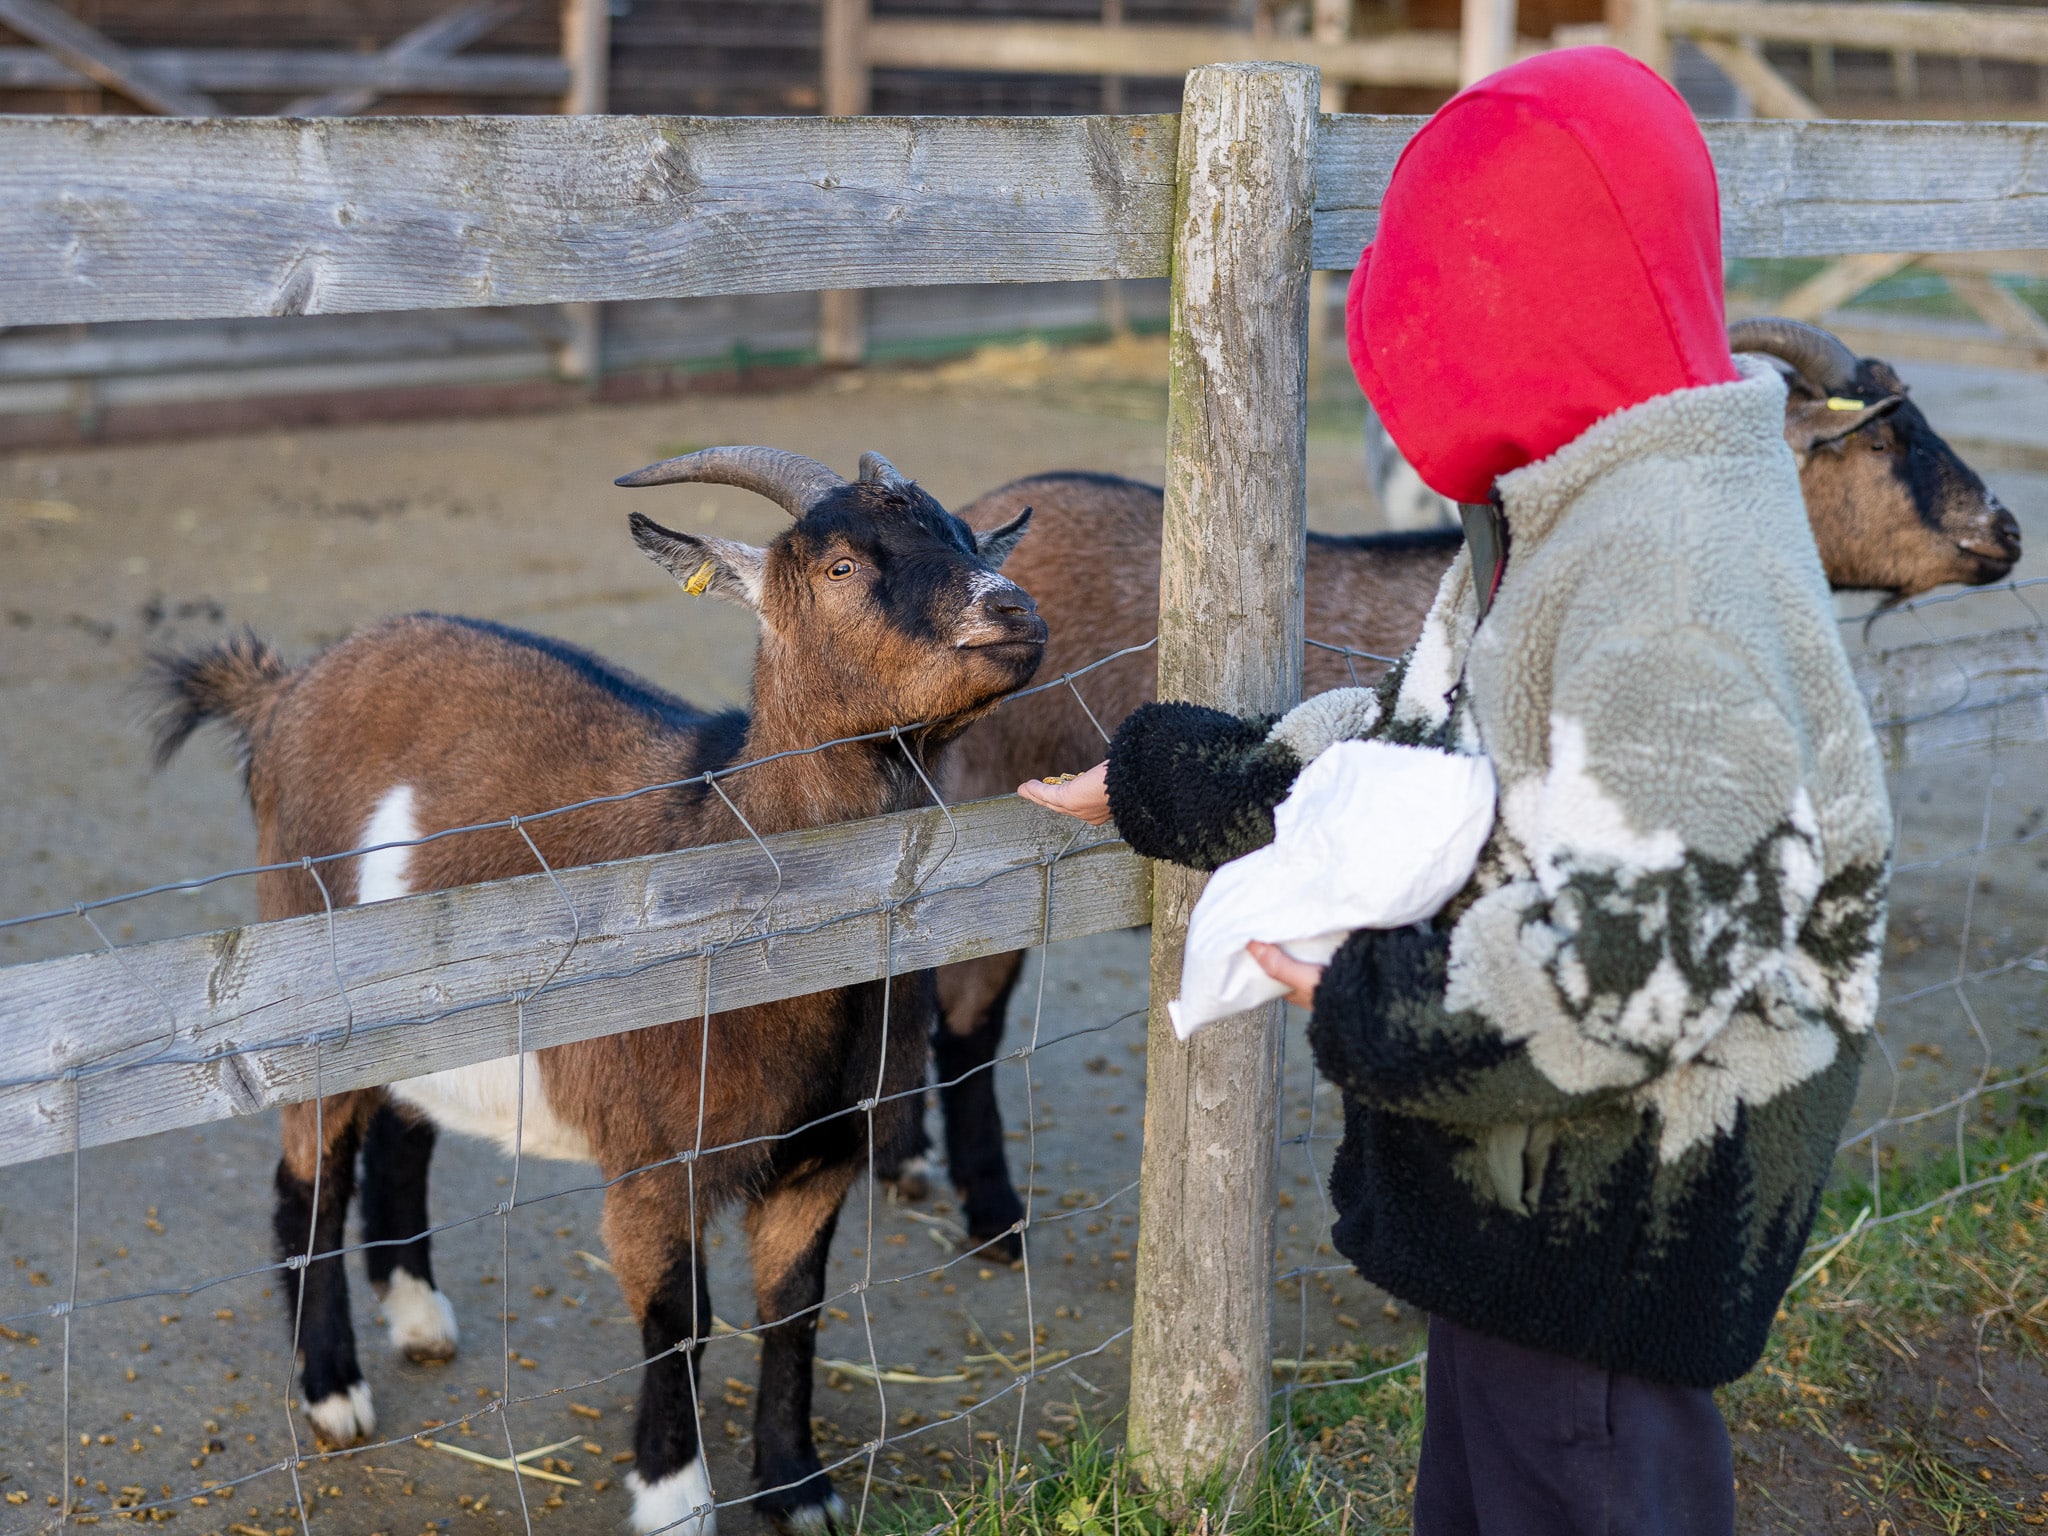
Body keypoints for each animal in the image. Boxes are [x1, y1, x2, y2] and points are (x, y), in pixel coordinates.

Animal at [147, 447, 1043, 1536]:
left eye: (965, 537)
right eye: (839, 565)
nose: (1011, 610)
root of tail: (284, 692)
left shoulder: (821, 1154)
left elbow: (794, 1310)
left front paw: (798, 1489)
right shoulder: (655, 1162)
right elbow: (680, 1320)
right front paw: (672, 1497)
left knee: (403, 1132)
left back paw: (418, 1318)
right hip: (309, 986)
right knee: (306, 1180)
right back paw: (333, 1393)